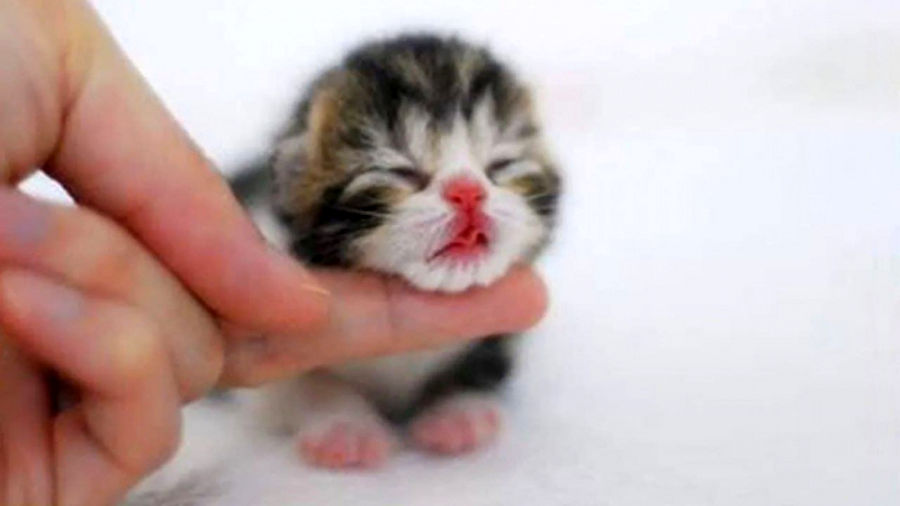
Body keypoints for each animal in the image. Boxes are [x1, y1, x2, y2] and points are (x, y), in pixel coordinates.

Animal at [233, 34, 561, 469]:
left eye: (501, 165)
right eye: (401, 171)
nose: (468, 193)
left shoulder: (498, 336)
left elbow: (481, 367)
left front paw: (457, 413)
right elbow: (294, 382)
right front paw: (345, 426)